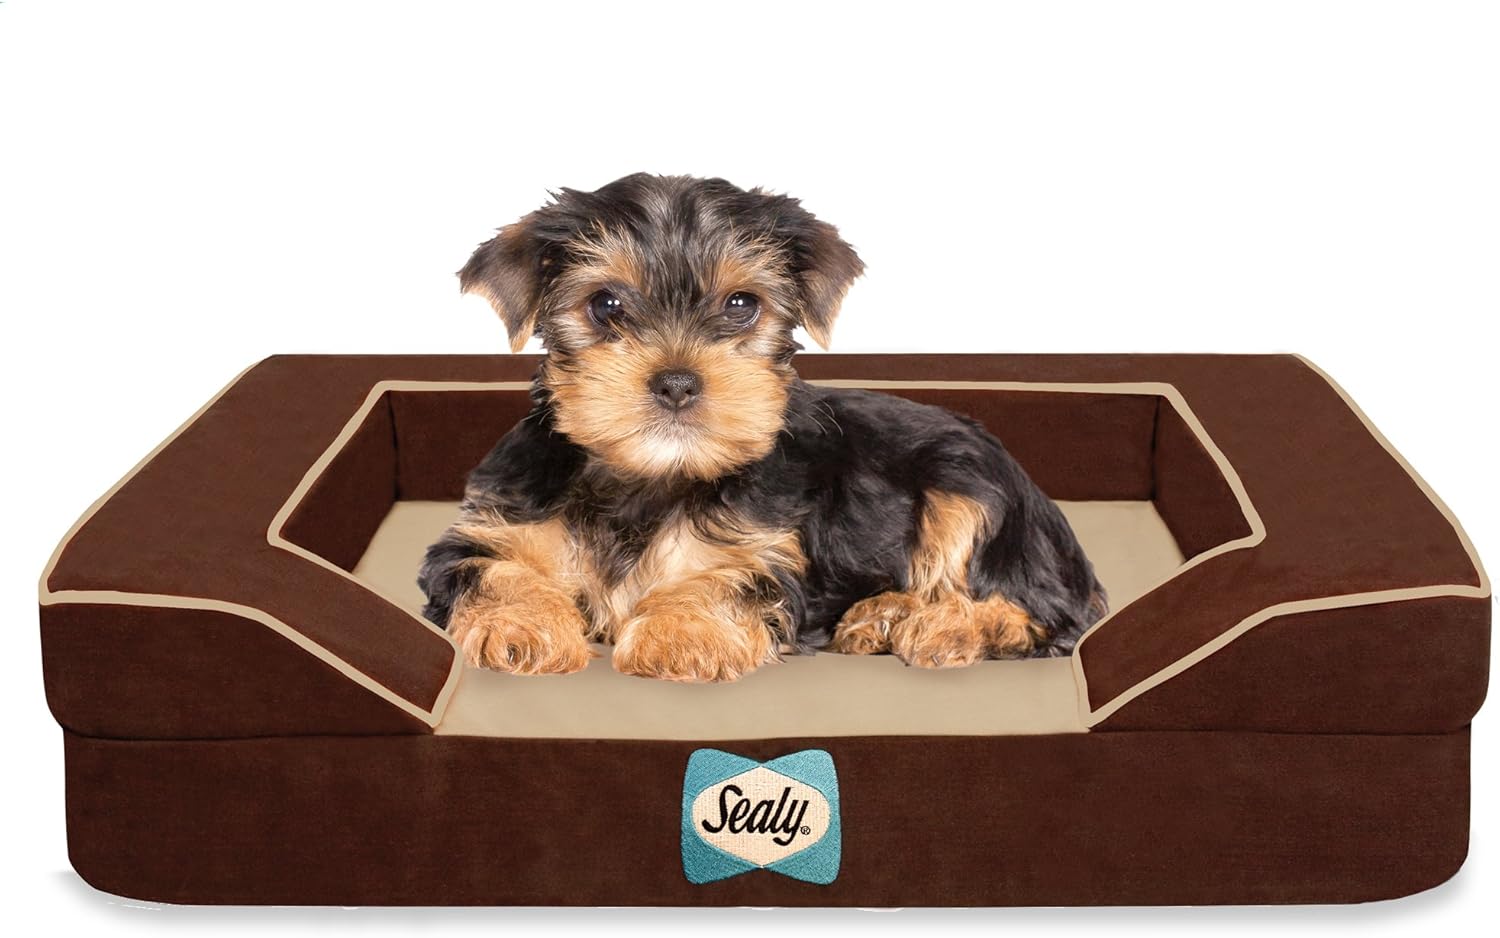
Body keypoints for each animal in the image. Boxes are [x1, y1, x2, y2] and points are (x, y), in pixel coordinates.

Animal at [418, 173, 1106, 682]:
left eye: (741, 305)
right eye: (605, 304)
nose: (676, 381)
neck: (650, 475)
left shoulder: (765, 548)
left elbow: (725, 579)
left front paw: (681, 632)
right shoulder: (489, 528)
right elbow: (492, 570)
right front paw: (521, 624)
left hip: (969, 488)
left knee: (1038, 612)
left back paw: (940, 624)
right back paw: (881, 617)